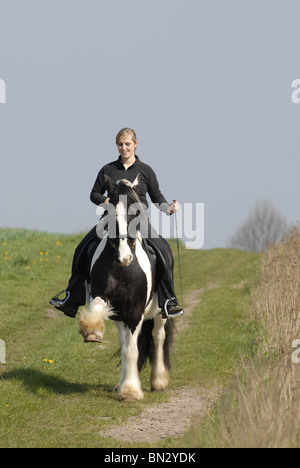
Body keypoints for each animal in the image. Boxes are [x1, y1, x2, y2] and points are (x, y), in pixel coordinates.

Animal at [78, 176, 175, 402]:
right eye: (111, 213)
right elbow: (97, 311)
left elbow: (133, 349)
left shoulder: (135, 311)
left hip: (160, 312)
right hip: (120, 317)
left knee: (158, 337)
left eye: (135, 213)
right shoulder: (105, 299)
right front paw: (92, 332)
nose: (125, 257)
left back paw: (158, 381)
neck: (123, 268)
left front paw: (130, 391)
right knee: (125, 342)